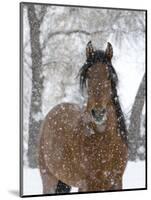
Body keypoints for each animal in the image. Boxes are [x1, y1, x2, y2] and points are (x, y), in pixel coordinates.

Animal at [38, 41, 128, 194]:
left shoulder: (116, 182)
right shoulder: (89, 184)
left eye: (109, 76)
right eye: (88, 76)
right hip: (49, 179)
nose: (98, 113)